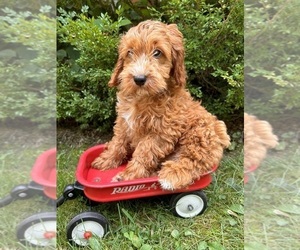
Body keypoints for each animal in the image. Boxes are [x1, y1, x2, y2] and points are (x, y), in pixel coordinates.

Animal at [92, 21, 231, 189]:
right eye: (130, 52)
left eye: (157, 53)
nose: (139, 79)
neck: (143, 97)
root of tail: (221, 136)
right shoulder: (123, 122)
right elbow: (118, 142)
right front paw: (106, 160)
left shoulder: (163, 131)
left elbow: (144, 151)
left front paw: (130, 175)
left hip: (200, 133)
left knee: (192, 160)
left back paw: (171, 174)